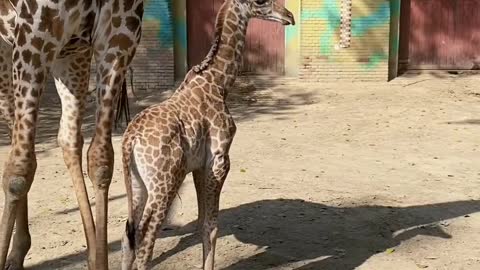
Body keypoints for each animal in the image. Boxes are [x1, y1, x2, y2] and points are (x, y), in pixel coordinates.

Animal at [0, 0, 143, 270]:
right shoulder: (35, 37)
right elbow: (19, 169)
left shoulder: (118, 38)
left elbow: (100, 160)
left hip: (66, 51)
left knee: (64, 139)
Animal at [120, 1, 294, 268]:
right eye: (260, 2)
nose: (289, 16)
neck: (219, 82)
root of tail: (130, 141)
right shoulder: (220, 160)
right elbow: (212, 226)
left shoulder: (199, 166)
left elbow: (203, 223)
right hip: (164, 183)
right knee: (145, 237)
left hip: (138, 183)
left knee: (128, 236)